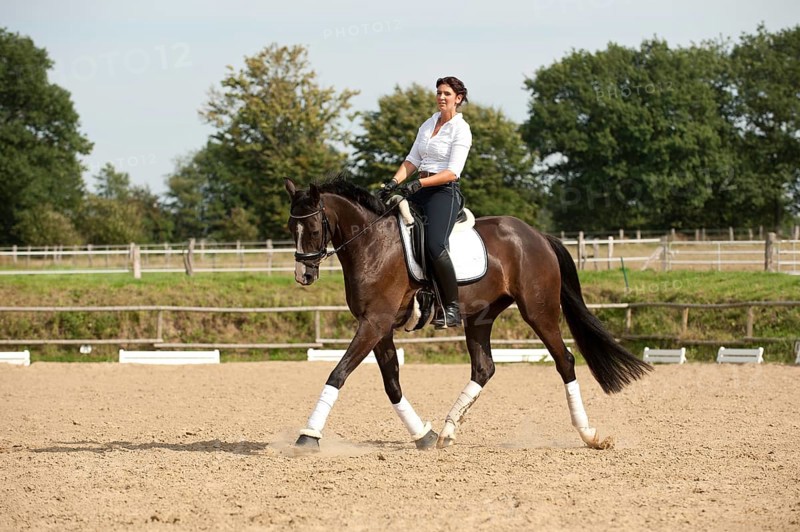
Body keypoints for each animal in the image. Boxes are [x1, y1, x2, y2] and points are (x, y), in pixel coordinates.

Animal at [285, 176, 651, 451]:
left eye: (314, 229)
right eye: (291, 228)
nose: (303, 276)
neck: (373, 244)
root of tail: (537, 236)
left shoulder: (374, 323)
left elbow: (338, 374)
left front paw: (307, 436)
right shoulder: (379, 326)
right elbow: (392, 384)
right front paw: (424, 436)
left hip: (539, 312)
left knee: (565, 361)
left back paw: (589, 435)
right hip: (480, 316)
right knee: (484, 368)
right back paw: (447, 431)